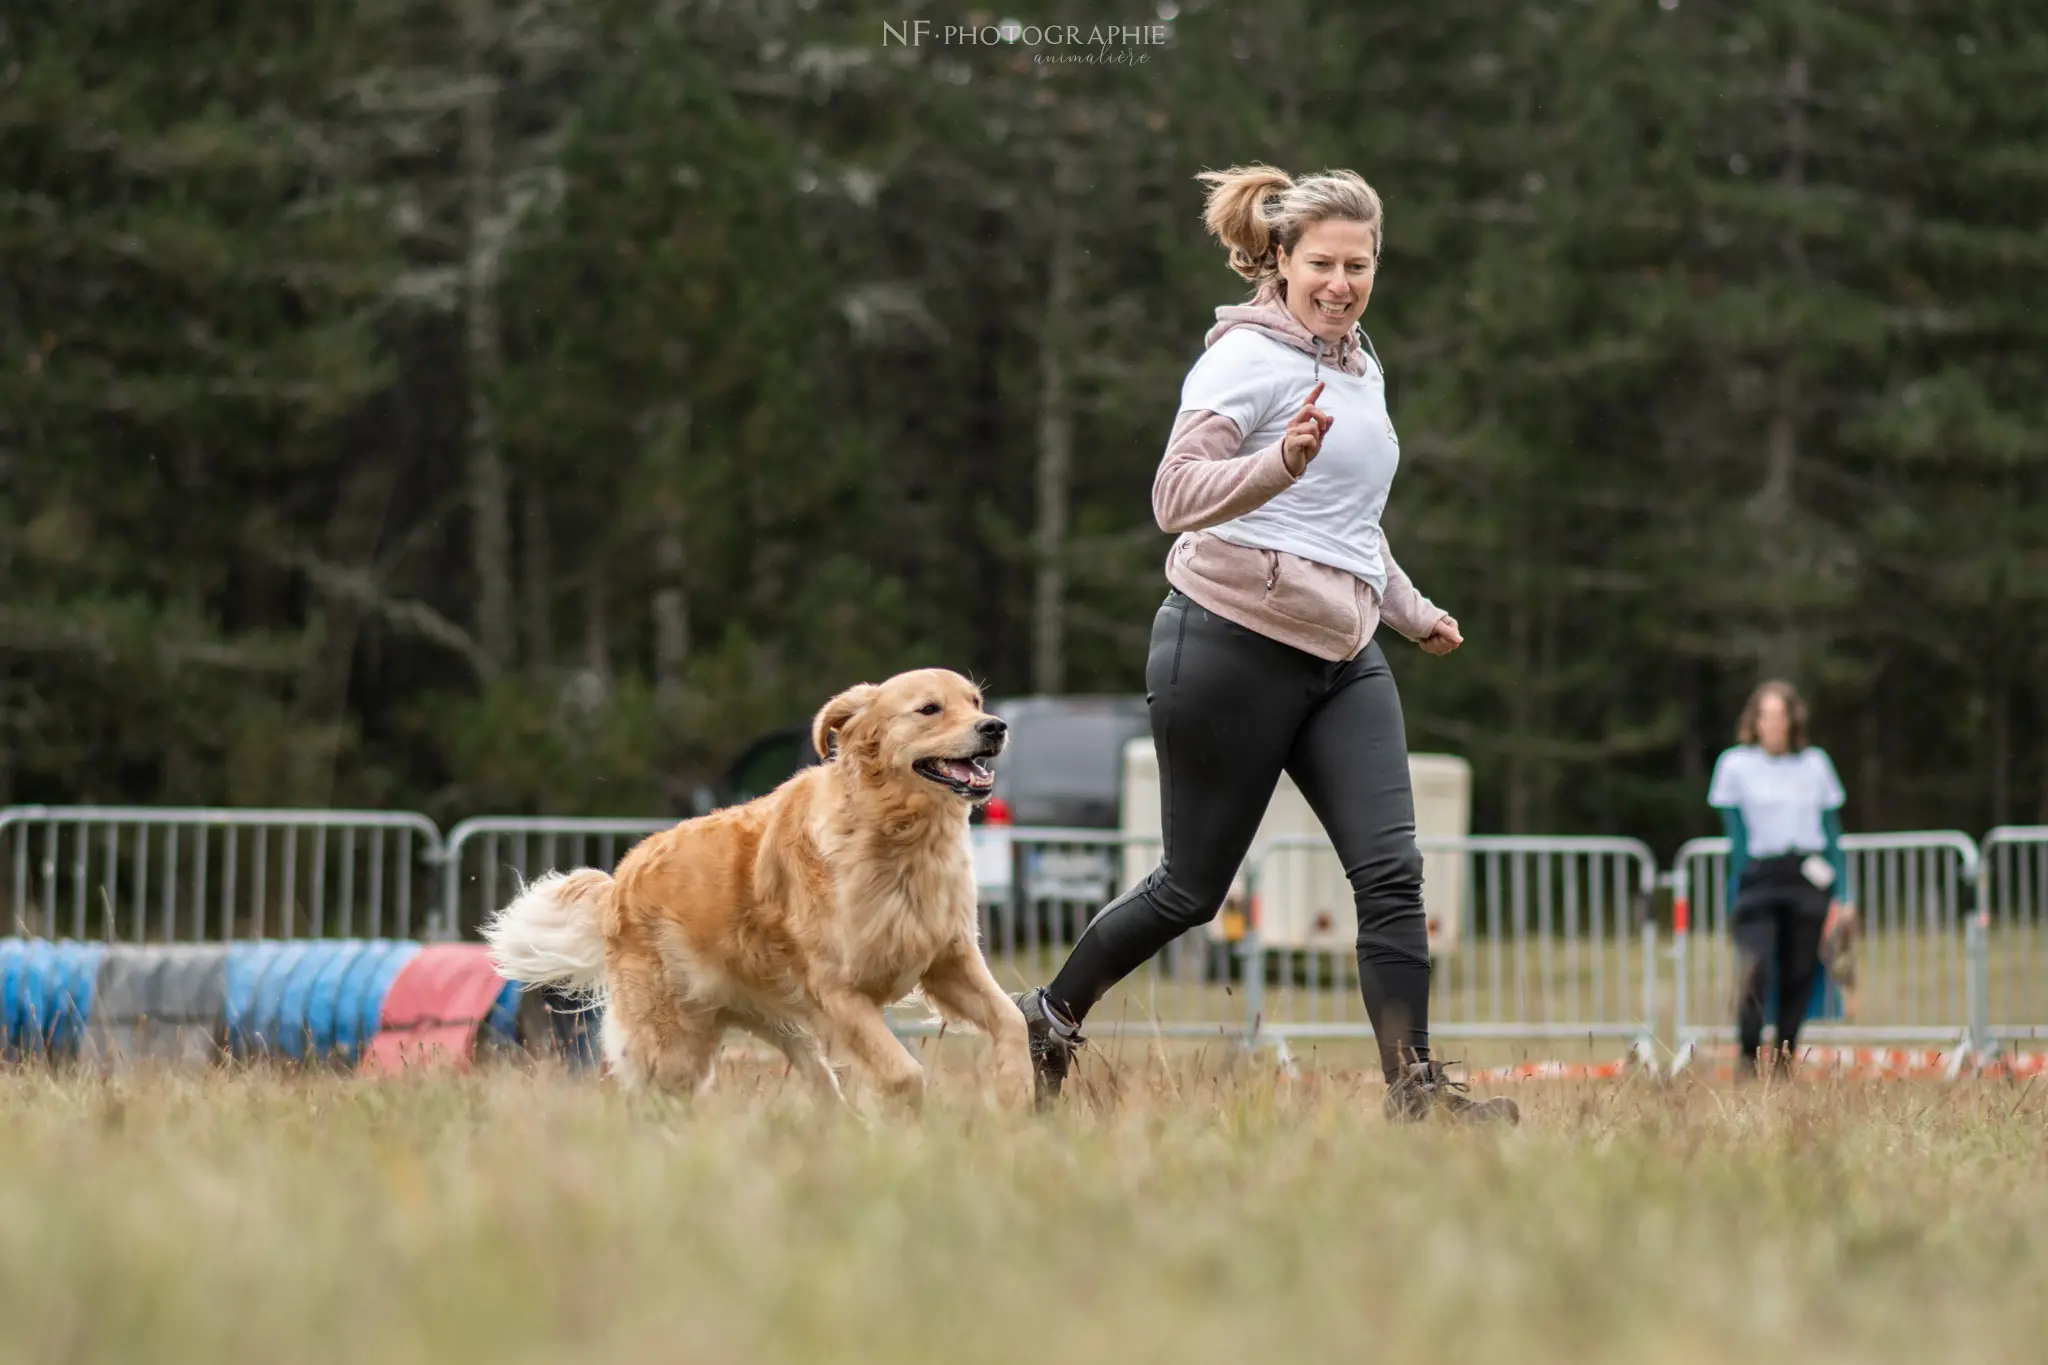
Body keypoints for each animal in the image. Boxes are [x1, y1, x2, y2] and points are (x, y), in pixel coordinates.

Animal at [485, 671, 1032, 1113]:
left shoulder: (950, 961)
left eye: (975, 701)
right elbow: (903, 1073)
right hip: (675, 1042)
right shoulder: (839, 994)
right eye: (929, 709)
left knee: (818, 1079)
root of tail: (618, 879)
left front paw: (1016, 1093)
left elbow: (1012, 1021)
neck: (899, 837)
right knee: (653, 1094)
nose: (995, 726)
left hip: (779, 1019)